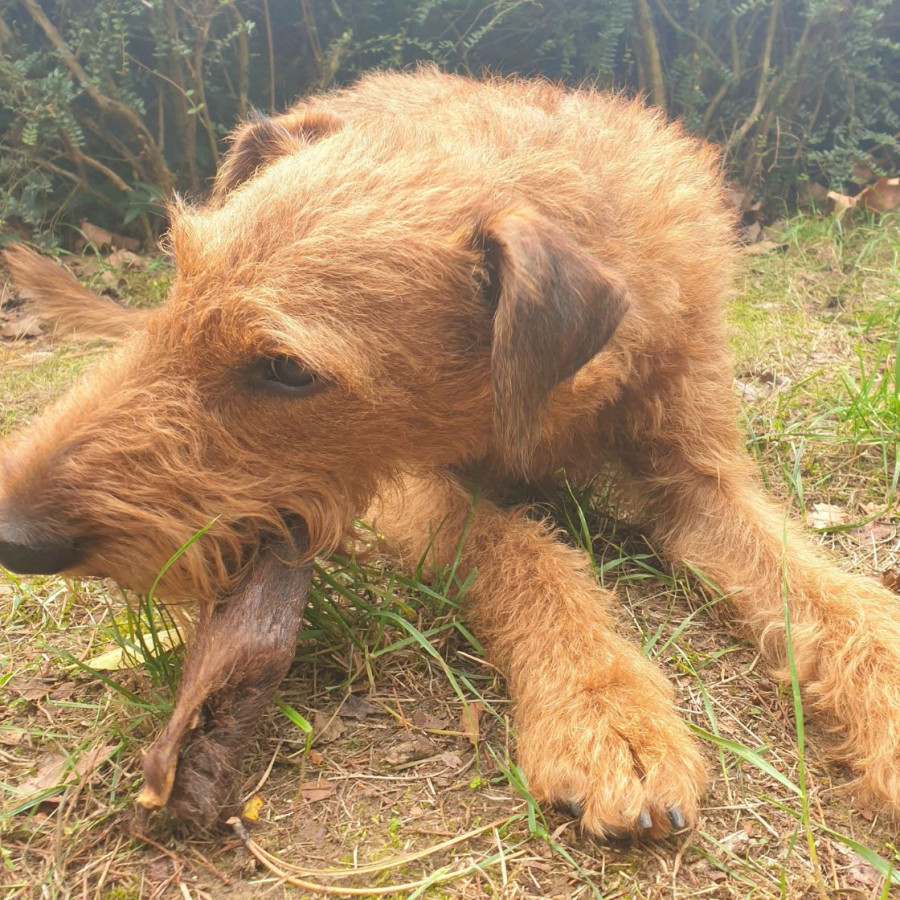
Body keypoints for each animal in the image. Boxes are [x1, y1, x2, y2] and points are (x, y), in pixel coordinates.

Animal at [1, 68, 900, 836]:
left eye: (286, 369)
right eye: (180, 280)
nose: (13, 535)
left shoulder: (699, 476)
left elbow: (816, 583)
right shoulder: (407, 485)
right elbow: (526, 551)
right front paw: (605, 713)